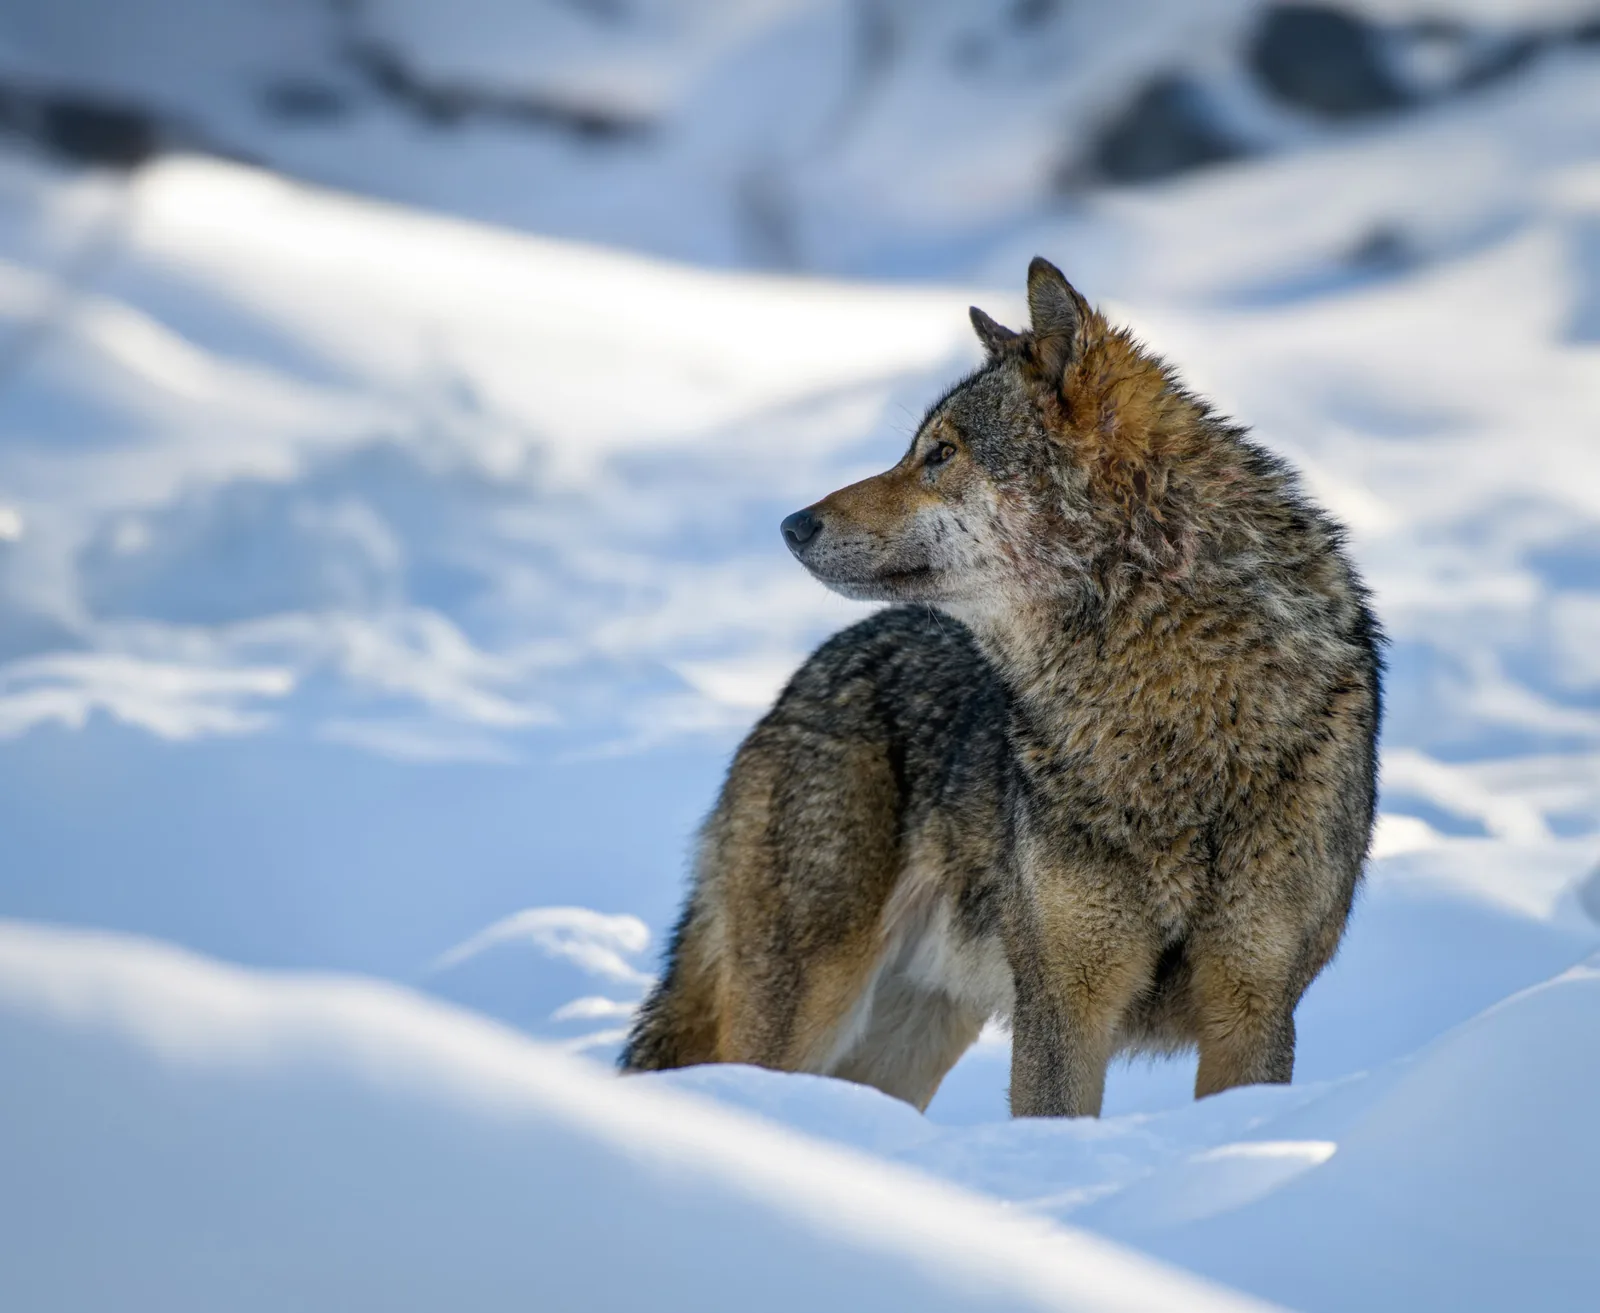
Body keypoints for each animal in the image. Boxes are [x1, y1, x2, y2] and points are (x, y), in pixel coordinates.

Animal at [621, 258, 1382, 1118]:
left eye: (941, 453)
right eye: (918, 449)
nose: (792, 525)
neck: (1174, 720)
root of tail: (799, 681)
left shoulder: (1254, 1010)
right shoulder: (1063, 1000)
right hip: (802, 1014)